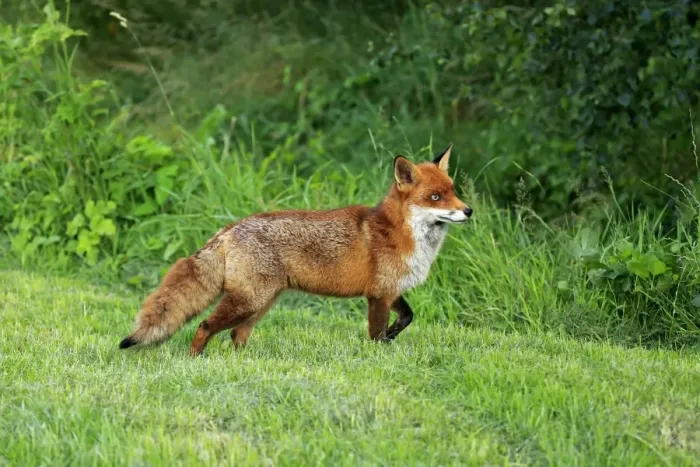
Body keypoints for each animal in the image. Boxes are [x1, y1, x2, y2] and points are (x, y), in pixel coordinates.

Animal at [118, 143, 472, 356]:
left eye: (453, 191)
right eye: (435, 197)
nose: (468, 211)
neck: (403, 233)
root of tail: (230, 228)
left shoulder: (389, 289)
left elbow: (408, 316)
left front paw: (394, 335)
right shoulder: (378, 295)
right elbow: (375, 334)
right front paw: (379, 355)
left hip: (261, 304)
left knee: (236, 337)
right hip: (249, 301)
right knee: (206, 326)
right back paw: (195, 360)